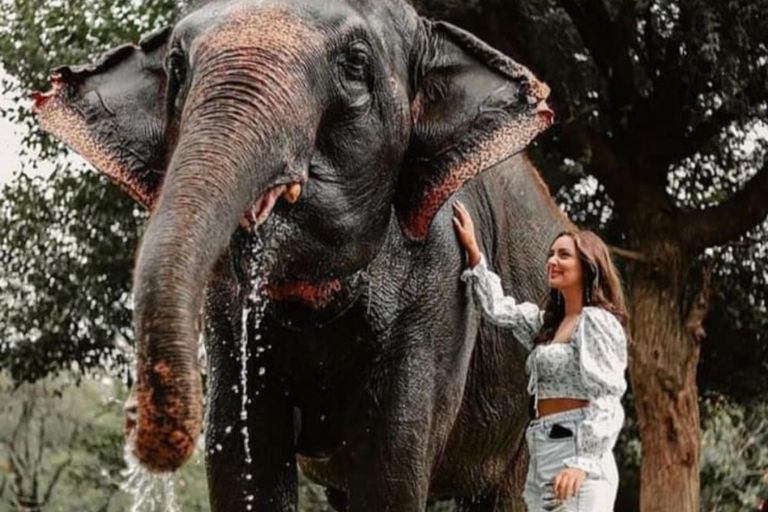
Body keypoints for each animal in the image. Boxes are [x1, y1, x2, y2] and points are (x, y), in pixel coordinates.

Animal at [34, 0, 568, 510]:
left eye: (355, 63)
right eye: (178, 66)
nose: (131, 418)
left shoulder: (436, 291)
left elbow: (389, 470)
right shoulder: (227, 313)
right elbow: (243, 459)